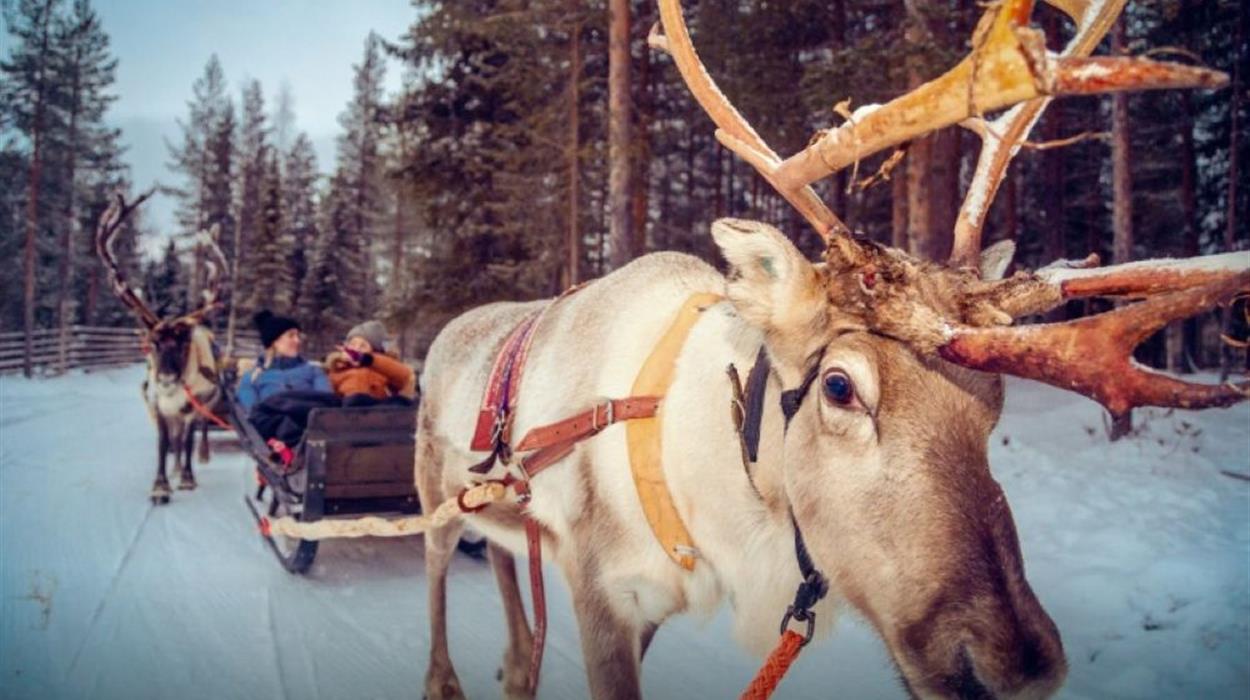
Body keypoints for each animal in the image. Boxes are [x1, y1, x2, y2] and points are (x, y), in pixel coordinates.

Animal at [96, 191, 229, 505]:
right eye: (153, 343)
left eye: (182, 343)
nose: (167, 378)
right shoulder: (158, 405)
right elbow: (163, 442)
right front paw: (160, 484)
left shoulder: (193, 406)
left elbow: (189, 438)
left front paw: (188, 478)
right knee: (175, 441)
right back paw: (176, 465)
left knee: (196, 434)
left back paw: (198, 458)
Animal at [412, 1, 1250, 699]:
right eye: (841, 387)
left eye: (994, 406)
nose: (1015, 671)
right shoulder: (601, 593)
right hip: (432, 498)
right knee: (438, 573)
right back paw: (444, 677)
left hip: (506, 523)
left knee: (505, 572)